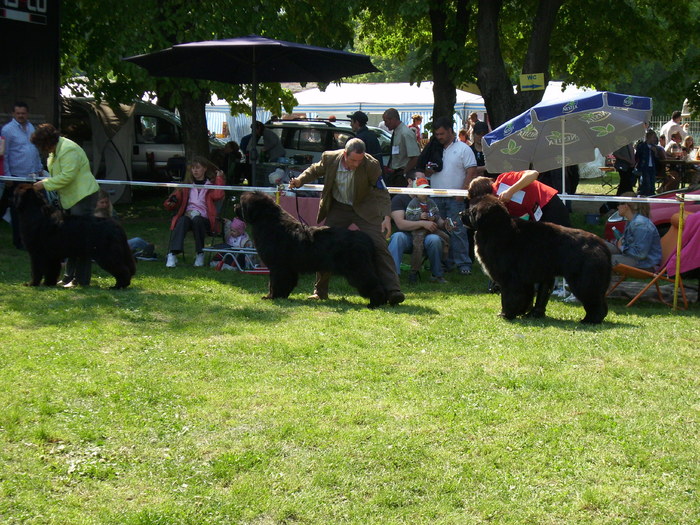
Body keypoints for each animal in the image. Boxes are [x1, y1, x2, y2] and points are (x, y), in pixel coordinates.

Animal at [237, 191, 388, 308]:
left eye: (241, 203)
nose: (234, 206)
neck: (269, 222)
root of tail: (366, 239)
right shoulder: (288, 269)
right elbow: (286, 283)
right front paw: (281, 296)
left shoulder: (278, 267)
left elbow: (274, 283)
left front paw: (272, 296)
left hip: (358, 269)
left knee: (372, 283)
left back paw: (375, 303)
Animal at [462, 194, 608, 322]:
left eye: (471, 210)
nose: (460, 214)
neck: (496, 229)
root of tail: (602, 245)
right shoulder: (524, 280)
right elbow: (525, 297)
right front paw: (520, 312)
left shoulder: (510, 279)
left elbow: (509, 298)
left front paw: (505, 314)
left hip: (583, 282)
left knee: (595, 301)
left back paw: (590, 320)